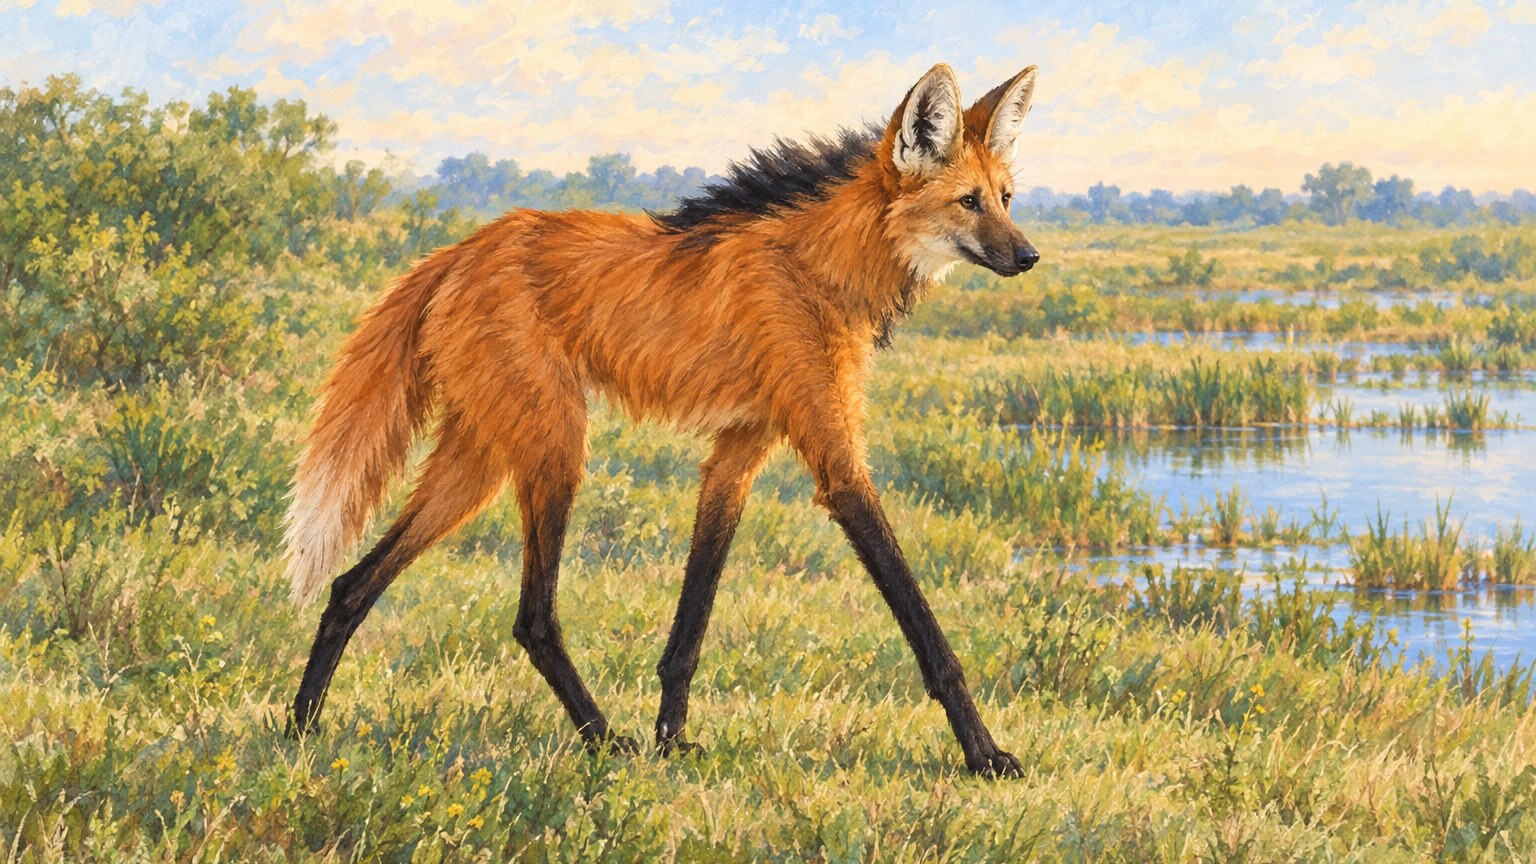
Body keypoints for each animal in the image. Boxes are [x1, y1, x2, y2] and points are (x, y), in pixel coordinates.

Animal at [285, 62, 1041, 777]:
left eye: (1006, 199)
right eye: (967, 202)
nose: (1030, 257)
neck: (818, 268)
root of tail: (456, 251)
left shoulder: (738, 452)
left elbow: (691, 624)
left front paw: (672, 739)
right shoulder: (837, 463)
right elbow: (926, 629)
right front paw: (985, 756)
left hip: (481, 462)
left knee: (352, 585)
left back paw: (300, 728)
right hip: (556, 448)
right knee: (533, 618)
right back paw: (600, 739)